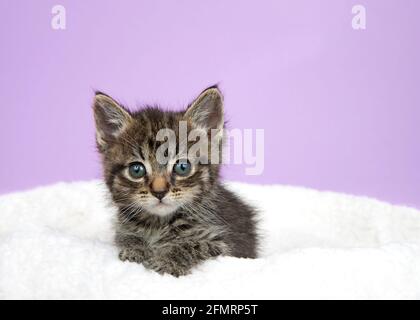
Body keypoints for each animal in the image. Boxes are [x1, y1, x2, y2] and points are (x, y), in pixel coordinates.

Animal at [93, 86, 258, 276]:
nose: (159, 192)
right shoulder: (123, 229)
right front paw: (137, 250)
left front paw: (167, 261)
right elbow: (127, 238)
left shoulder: (225, 245)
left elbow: (195, 245)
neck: (158, 224)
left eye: (182, 167)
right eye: (136, 170)